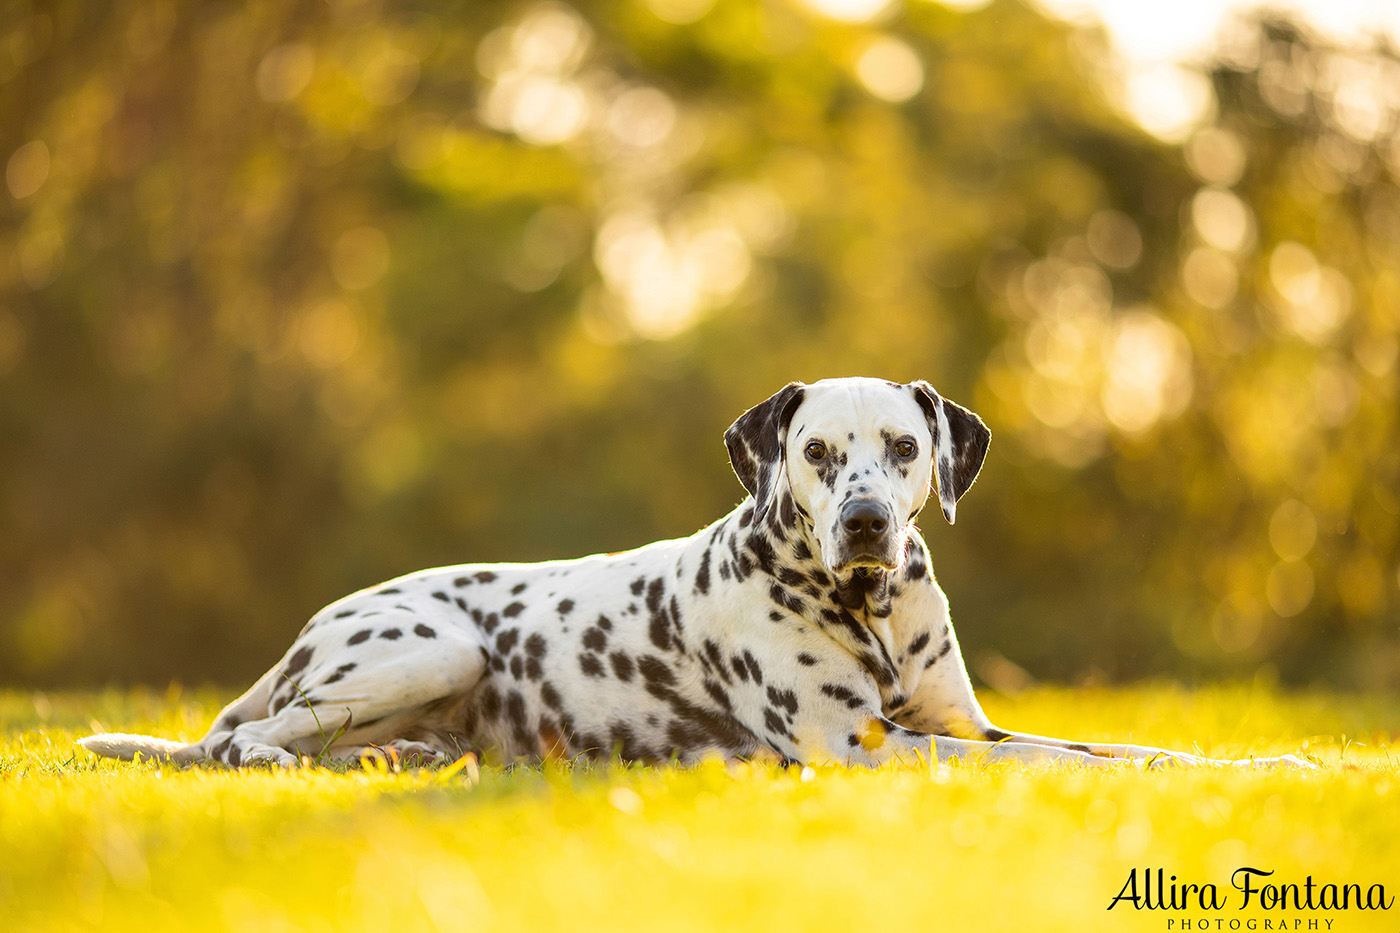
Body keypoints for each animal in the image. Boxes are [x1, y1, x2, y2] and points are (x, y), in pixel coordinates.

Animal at [81, 375, 1310, 767]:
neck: (869, 608)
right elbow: (1038, 765)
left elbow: (1115, 748)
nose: (869, 520)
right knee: (244, 745)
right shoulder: (861, 749)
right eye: (816, 453)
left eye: (903, 448)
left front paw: (1265, 764)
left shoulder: (961, 724)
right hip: (434, 646)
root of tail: (304, 632)